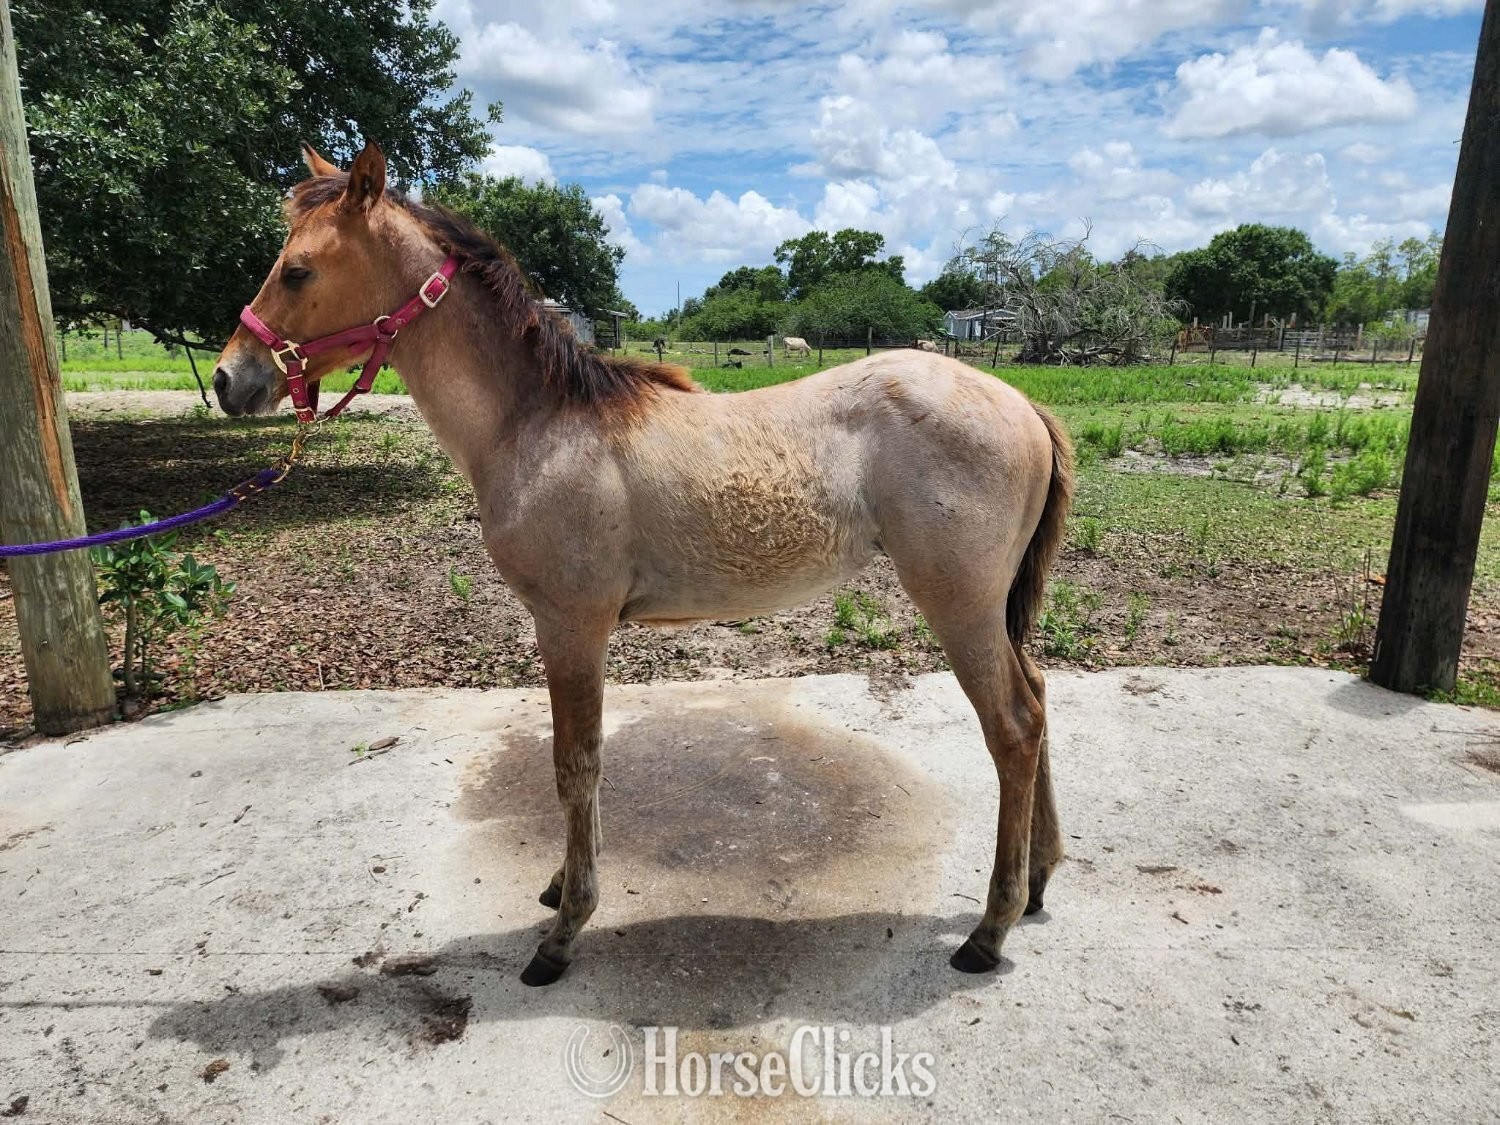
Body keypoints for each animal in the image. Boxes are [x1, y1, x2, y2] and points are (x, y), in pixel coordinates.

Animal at [212, 142, 1074, 987]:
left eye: (298, 270)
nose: (229, 379)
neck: (539, 422)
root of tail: (1023, 403)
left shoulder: (571, 625)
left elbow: (575, 764)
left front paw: (563, 930)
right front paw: (560, 885)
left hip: (958, 604)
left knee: (1013, 727)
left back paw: (989, 929)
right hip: (990, 610)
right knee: (1036, 701)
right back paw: (1036, 883)